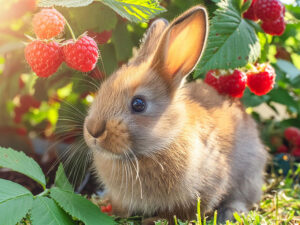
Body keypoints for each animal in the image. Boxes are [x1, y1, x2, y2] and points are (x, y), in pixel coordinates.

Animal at [82, 5, 268, 225]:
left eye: (139, 104)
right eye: (102, 91)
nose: (93, 130)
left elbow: (184, 212)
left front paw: (153, 220)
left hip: (249, 174)